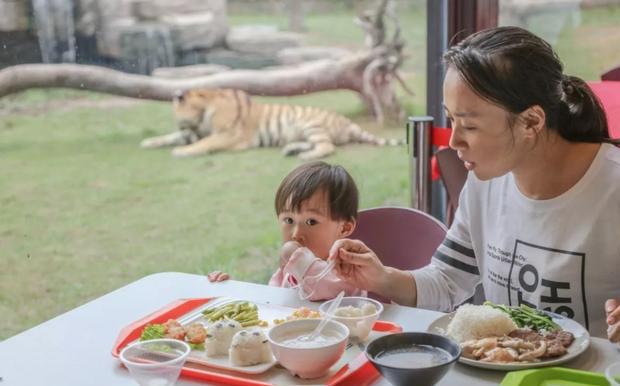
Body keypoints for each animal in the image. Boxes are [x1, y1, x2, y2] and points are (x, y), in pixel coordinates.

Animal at [140, 88, 402, 159]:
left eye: (177, 116)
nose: (180, 124)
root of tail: (348, 122)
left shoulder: (228, 134)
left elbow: (204, 143)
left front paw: (182, 151)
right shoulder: (197, 131)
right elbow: (170, 137)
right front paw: (149, 142)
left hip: (310, 123)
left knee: (327, 147)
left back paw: (304, 156)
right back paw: (291, 149)